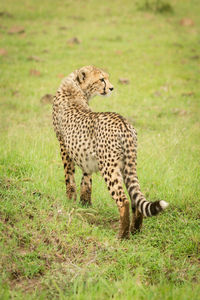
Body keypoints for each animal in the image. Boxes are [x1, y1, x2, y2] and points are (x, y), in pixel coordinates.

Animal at [52, 65, 168, 239]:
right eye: (101, 79)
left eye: (106, 78)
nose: (112, 88)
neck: (76, 88)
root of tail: (124, 123)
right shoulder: (86, 156)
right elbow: (86, 181)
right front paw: (85, 204)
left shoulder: (64, 146)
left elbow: (69, 178)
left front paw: (70, 201)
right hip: (127, 165)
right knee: (135, 198)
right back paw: (135, 231)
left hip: (109, 167)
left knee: (123, 200)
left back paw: (122, 236)